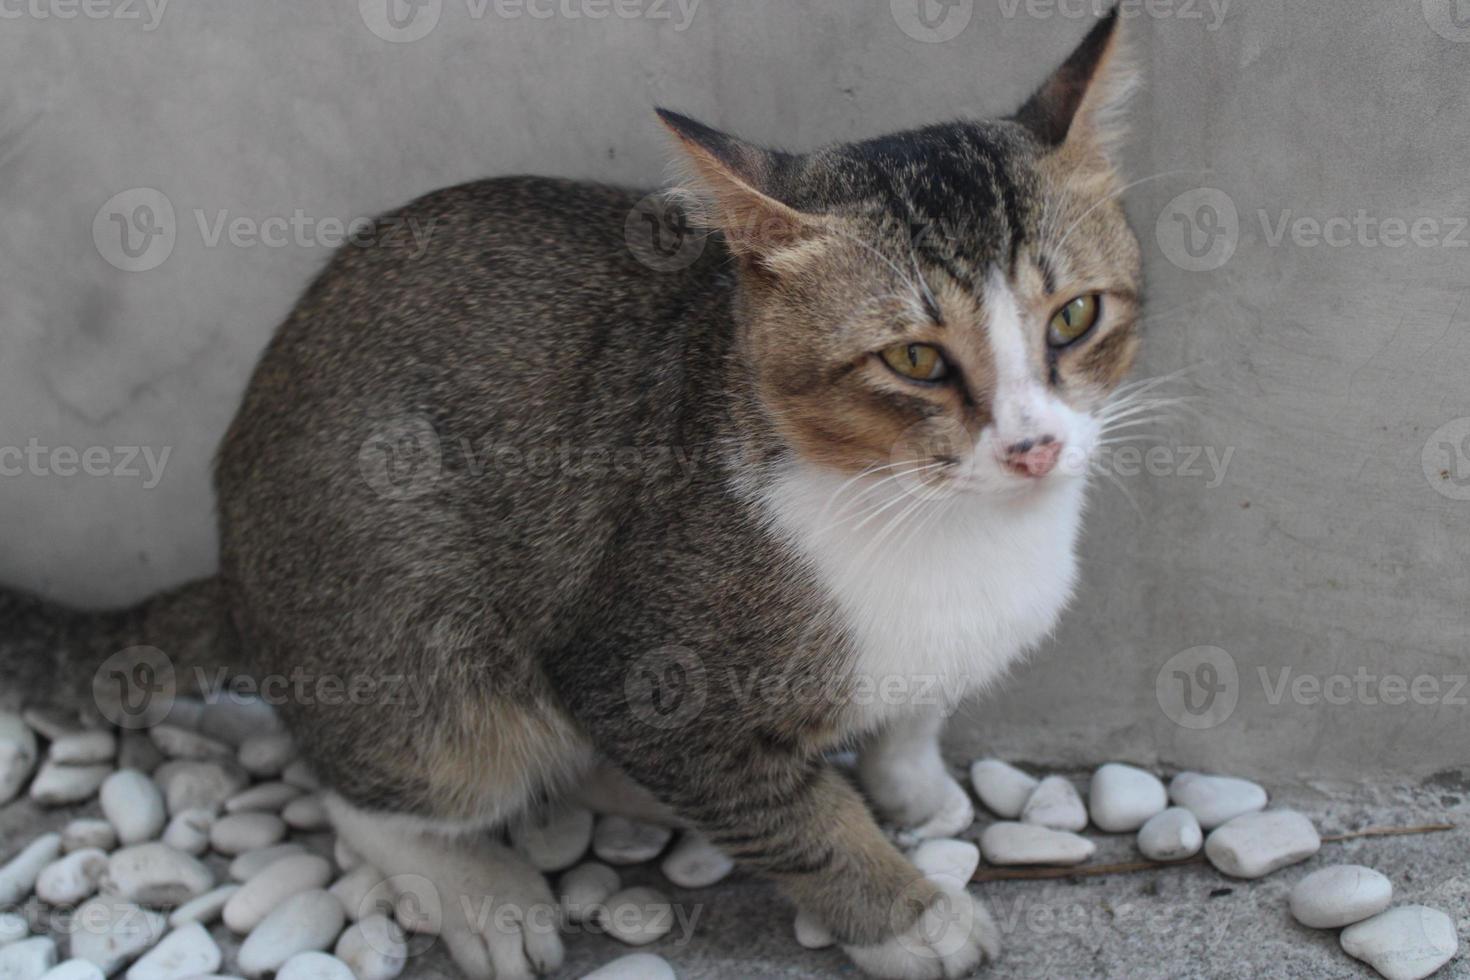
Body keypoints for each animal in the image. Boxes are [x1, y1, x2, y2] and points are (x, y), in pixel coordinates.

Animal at [0, 9, 1140, 980]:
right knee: (387, 775)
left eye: (1075, 315)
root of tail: (238, 574)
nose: (1035, 445)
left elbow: (915, 713)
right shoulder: (646, 666)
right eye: (913, 357)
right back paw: (478, 884)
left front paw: (918, 788)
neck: (938, 517)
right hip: (415, 625)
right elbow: (796, 819)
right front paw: (906, 915)